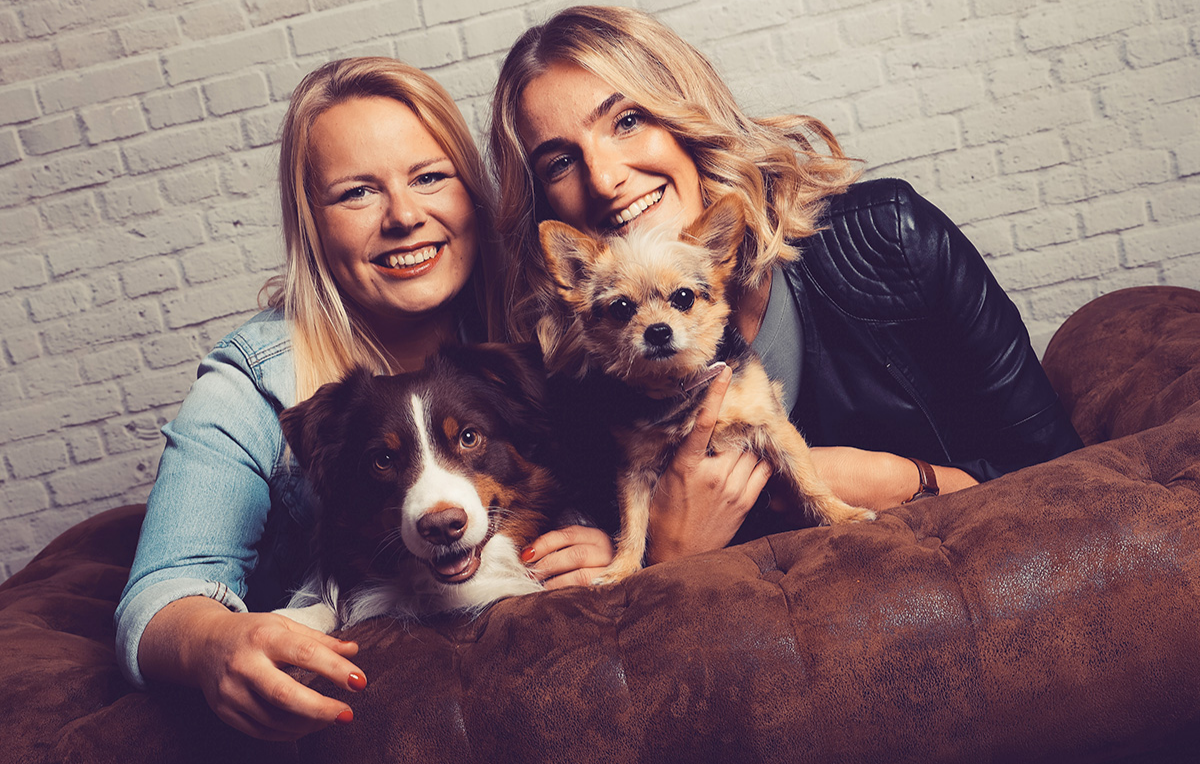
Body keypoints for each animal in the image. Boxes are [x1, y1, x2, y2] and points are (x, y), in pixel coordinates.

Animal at [538, 195, 876, 585]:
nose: (658, 331)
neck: (680, 386)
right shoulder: (634, 469)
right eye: (621, 308)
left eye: (684, 297)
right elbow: (633, 523)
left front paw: (842, 516)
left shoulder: (772, 424)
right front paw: (622, 568)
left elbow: (808, 479)